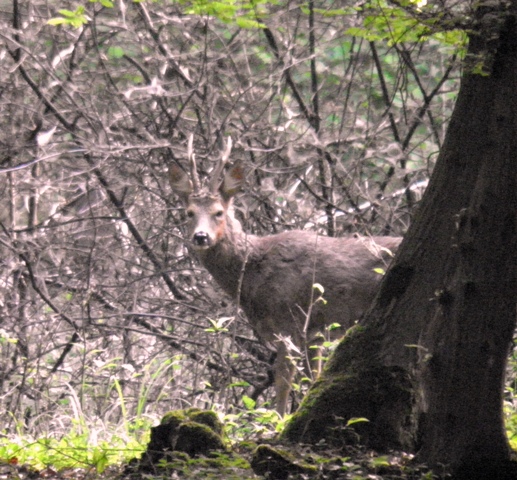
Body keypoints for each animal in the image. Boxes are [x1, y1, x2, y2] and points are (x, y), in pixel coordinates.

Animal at [169, 140, 404, 416]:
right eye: (189, 212)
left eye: (218, 212)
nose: (200, 236)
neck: (253, 273)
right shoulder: (315, 332)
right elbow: (315, 379)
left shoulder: (289, 322)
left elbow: (283, 380)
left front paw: (278, 418)